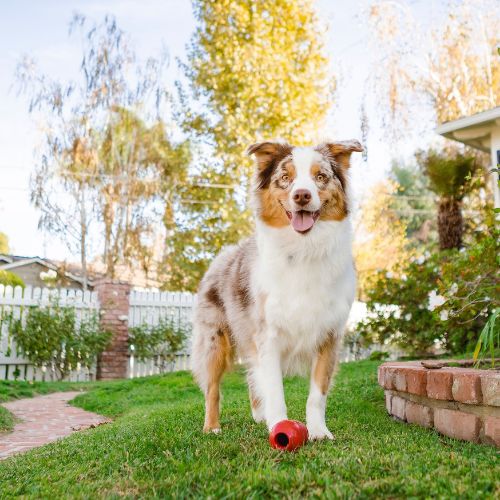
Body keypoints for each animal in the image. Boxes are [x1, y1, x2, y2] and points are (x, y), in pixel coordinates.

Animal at [191, 139, 364, 440]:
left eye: (321, 176)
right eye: (285, 177)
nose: (302, 196)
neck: (304, 250)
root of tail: (223, 254)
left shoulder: (329, 335)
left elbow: (316, 395)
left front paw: (318, 432)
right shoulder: (267, 336)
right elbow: (275, 390)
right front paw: (280, 426)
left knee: (251, 377)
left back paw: (259, 415)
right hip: (214, 340)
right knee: (213, 388)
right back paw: (212, 427)